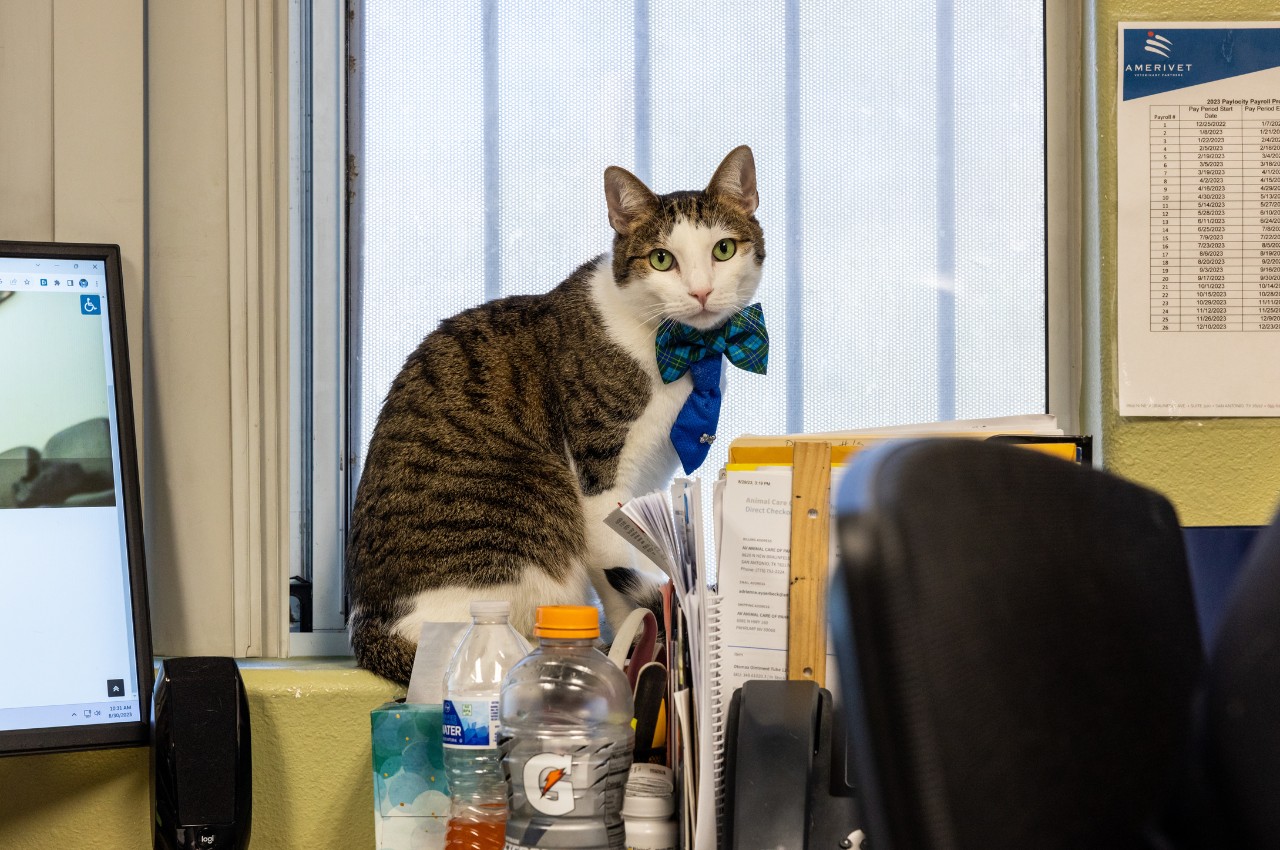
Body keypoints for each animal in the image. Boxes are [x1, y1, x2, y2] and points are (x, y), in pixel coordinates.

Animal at [345, 142, 762, 681]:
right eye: (662, 259)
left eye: (723, 250)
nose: (701, 291)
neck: (684, 354)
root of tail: (369, 627)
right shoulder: (600, 484)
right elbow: (622, 581)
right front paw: (639, 647)